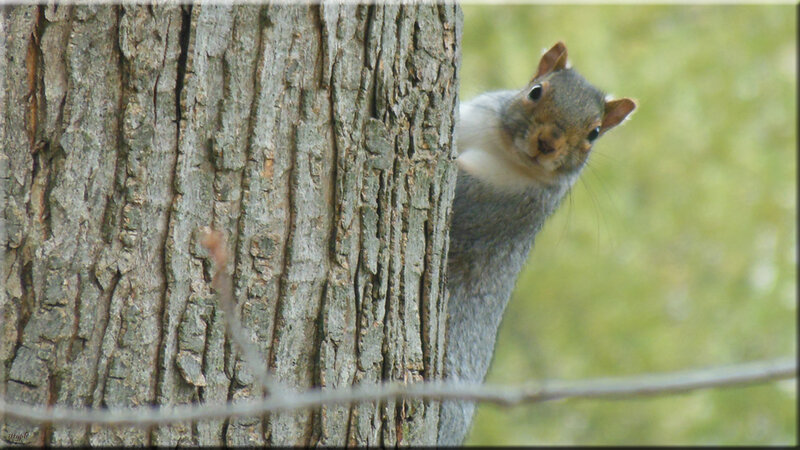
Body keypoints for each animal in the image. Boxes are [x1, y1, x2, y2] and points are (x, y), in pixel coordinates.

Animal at [438, 41, 636, 445]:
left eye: (594, 133)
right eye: (535, 91)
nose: (547, 143)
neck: (501, 147)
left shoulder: (502, 204)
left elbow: (461, 194)